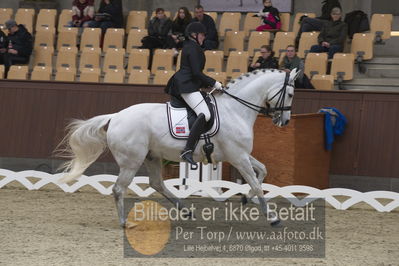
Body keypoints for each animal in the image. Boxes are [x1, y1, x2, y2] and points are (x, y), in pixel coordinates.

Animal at [57, 68, 298, 227]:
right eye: (290, 94)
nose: (284, 121)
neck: (235, 109)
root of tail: (116, 116)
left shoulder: (241, 154)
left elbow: (263, 171)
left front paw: (247, 198)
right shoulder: (238, 156)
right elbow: (256, 183)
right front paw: (273, 217)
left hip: (151, 157)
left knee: (156, 183)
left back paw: (186, 210)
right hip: (131, 161)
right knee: (119, 189)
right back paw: (125, 222)